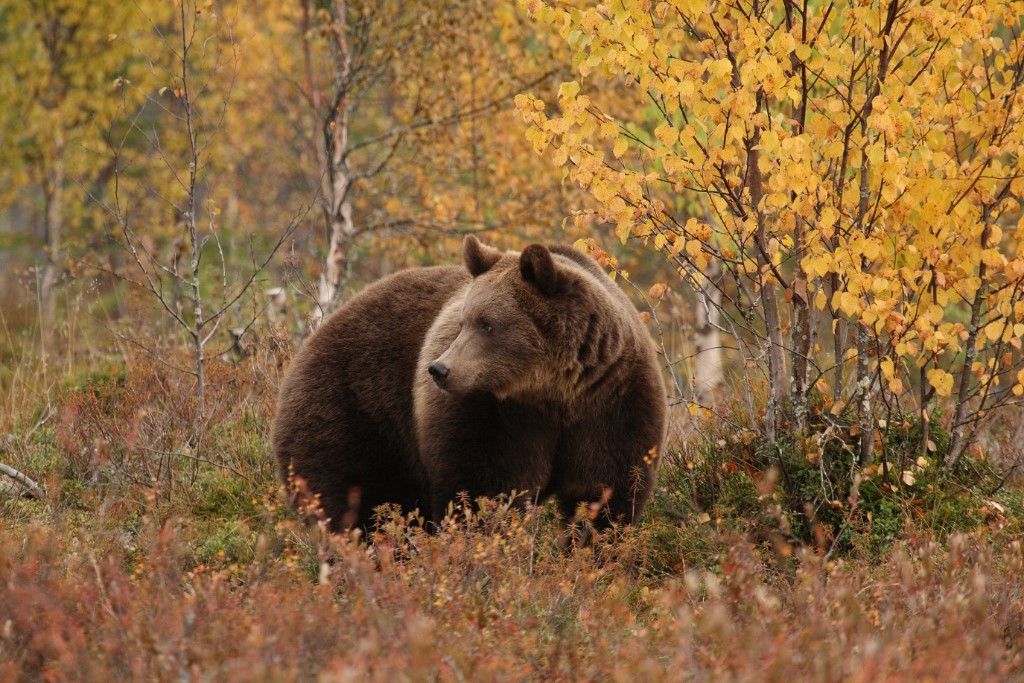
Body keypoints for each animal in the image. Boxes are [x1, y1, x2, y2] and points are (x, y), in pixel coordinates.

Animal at [272, 237, 667, 536]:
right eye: (464, 321)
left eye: (487, 324)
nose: (439, 369)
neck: (553, 392)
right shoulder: (491, 414)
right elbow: (482, 489)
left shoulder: (612, 402)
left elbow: (606, 491)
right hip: (353, 412)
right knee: (357, 503)